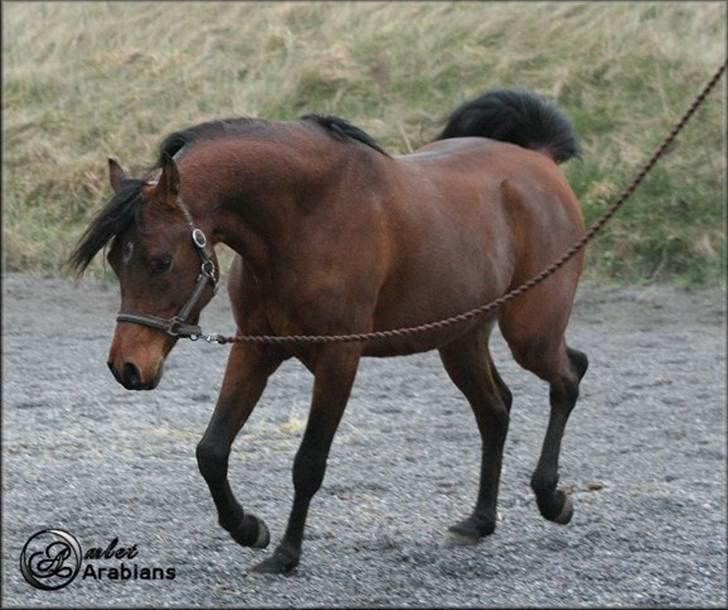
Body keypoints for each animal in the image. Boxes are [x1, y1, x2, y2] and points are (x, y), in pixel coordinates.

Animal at [69, 88, 584, 572]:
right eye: (115, 261)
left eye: (160, 261)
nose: (127, 367)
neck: (306, 217)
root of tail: (540, 161)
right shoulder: (255, 349)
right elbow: (211, 451)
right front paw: (249, 529)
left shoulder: (339, 360)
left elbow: (308, 464)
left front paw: (285, 554)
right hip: (461, 340)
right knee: (496, 409)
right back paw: (479, 520)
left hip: (530, 333)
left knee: (568, 377)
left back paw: (551, 498)